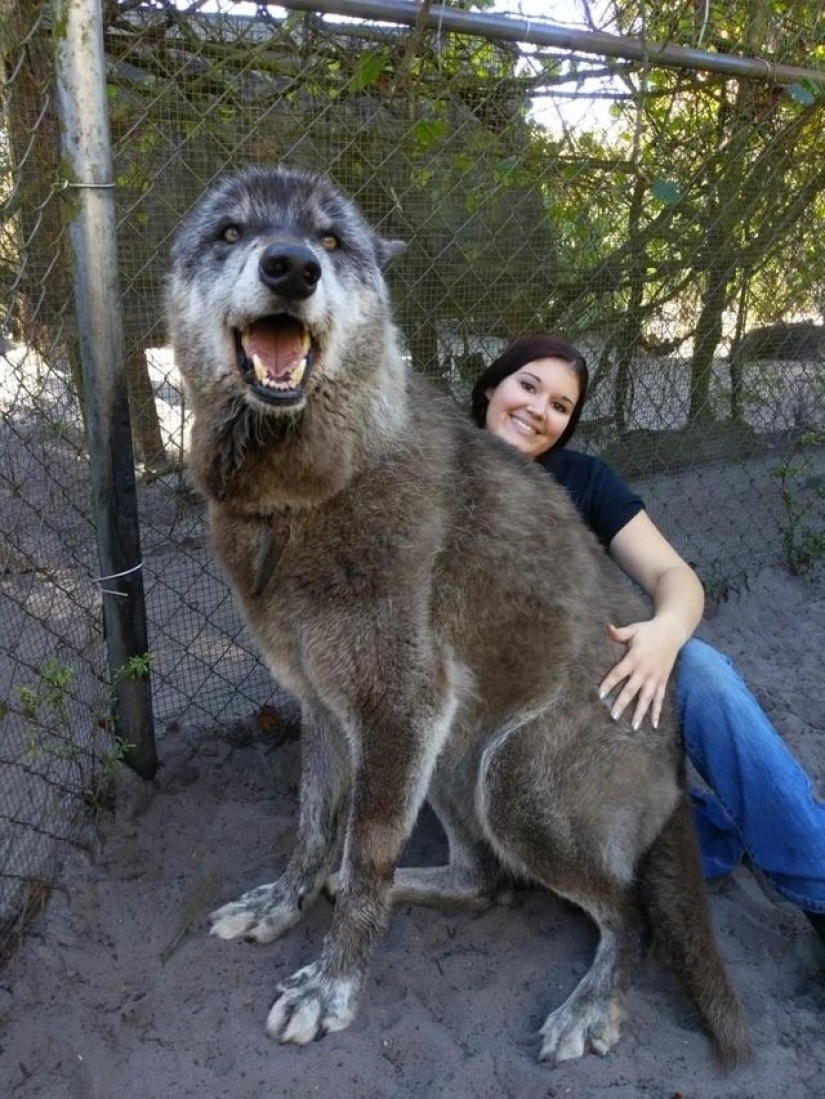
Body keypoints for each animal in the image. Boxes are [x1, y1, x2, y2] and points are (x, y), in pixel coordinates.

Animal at [166, 166, 748, 1066]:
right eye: (230, 231)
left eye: (331, 239)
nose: (291, 267)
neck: (302, 495)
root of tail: (676, 765)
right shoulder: (327, 708)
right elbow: (312, 827)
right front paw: (283, 902)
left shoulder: (398, 708)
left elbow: (365, 850)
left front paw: (332, 987)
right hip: (450, 756)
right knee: (483, 881)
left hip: (509, 779)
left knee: (628, 913)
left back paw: (590, 1004)